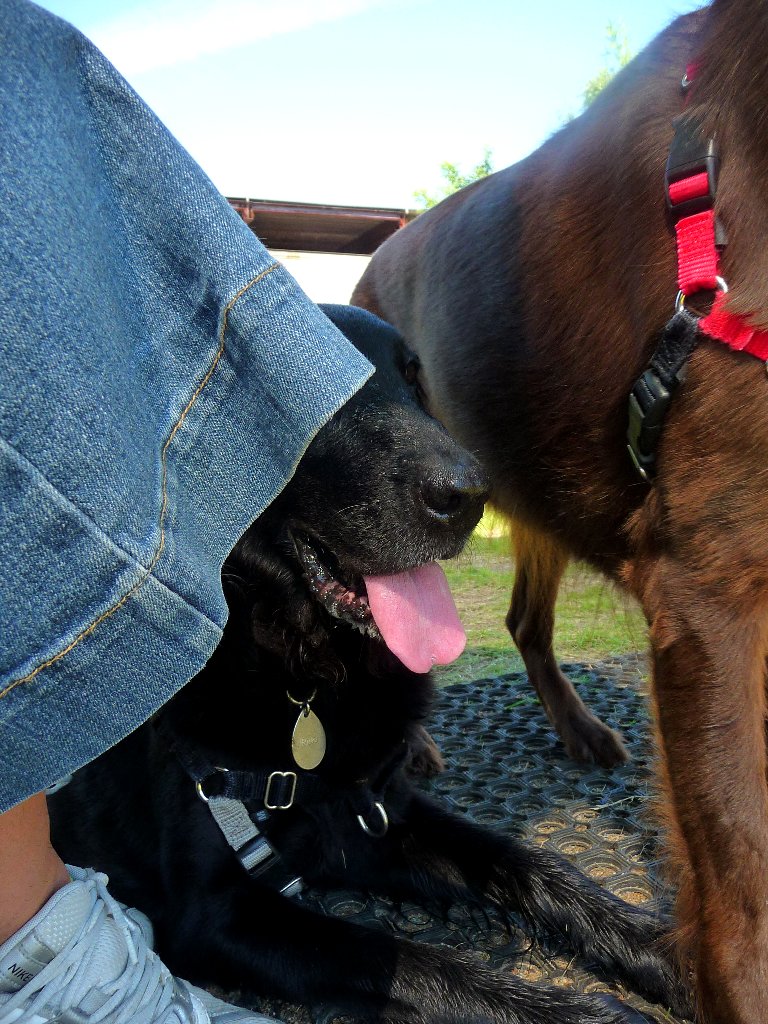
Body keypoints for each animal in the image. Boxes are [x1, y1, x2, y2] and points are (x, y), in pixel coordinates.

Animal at [48, 306, 688, 1024]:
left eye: (416, 380)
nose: (470, 494)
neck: (304, 673)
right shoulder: (214, 914)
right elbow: (407, 960)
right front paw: (576, 1012)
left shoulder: (378, 813)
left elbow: (528, 862)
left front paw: (664, 951)